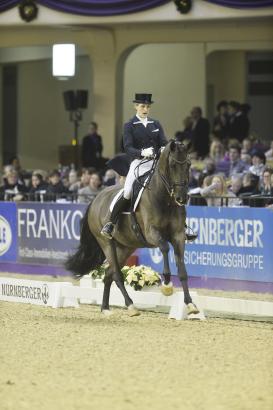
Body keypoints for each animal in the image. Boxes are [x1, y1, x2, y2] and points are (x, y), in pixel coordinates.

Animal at [65, 139, 199, 316]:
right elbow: (164, 247)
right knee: (116, 274)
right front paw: (167, 285)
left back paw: (105, 308)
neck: (165, 199)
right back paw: (131, 306)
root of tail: (96, 199)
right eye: (172, 165)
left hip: (125, 247)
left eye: (189, 164)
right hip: (106, 243)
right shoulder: (151, 233)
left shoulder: (178, 236)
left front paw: (190, 304)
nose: (181, 198)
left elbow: (183, 271)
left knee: (108, 275)